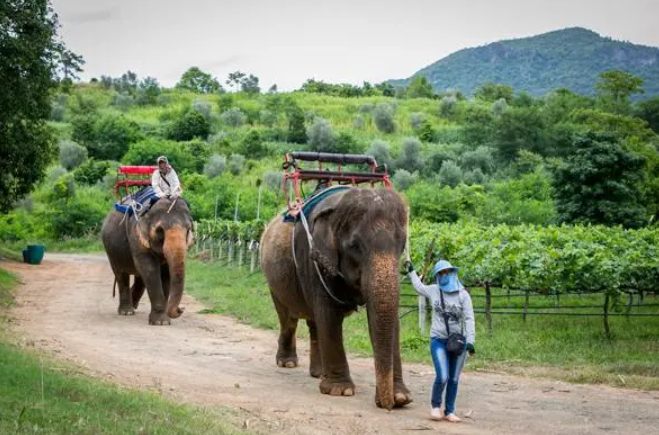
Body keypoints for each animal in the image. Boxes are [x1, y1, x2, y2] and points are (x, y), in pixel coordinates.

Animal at [260, 188, 410, 412]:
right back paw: (288, 363)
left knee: (314, 322)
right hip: (273, 279)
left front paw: (401, 397)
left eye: (402, 245)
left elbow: (388, 321)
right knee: (288, 318)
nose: (388, 406)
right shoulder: (313, 260)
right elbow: (329, 315)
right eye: (355, 246)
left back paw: (318, 373)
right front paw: (341, 390)